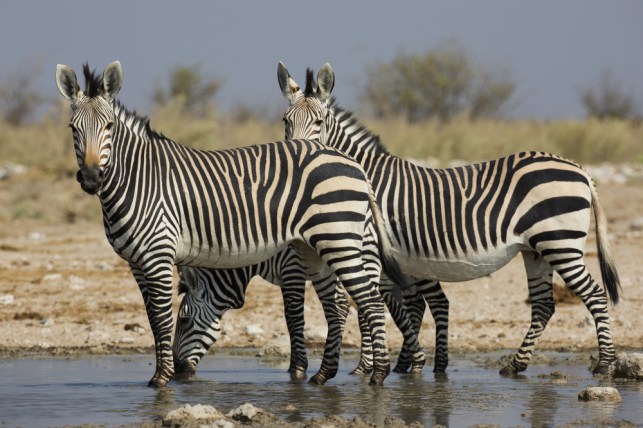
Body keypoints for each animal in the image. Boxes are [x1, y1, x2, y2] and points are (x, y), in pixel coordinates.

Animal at [55, 61, 409, 387]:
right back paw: (325, 375)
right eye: (72, 128)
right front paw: (158, 376)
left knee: (371, 302)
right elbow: (154, 320)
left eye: (109, 126)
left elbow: (163, 318)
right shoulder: (137, 263)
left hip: (339, 241)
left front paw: (161, 380)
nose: (91, 178)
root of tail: (353, 163)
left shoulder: (159, 256)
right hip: (316, 249)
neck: (139, 179)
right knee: (342, 306)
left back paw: (378, 375)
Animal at [277, 62, 621, 376]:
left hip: (561, 244)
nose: (296, 153)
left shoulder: (371, 249)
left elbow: (369, 306)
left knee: (595, 294)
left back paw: (605, 364)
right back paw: (515, 364)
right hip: (535, 250)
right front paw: (398, 364)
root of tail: (579, 168)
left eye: (319, 121)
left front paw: (367, 368)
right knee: (543, 306)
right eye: (285, 121)